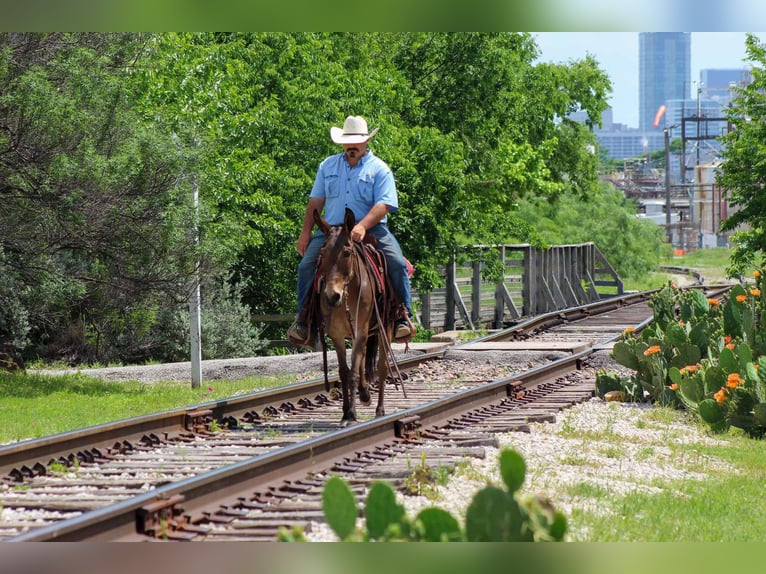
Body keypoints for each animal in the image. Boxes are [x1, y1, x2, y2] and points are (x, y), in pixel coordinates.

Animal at [312, 207, 393, 426]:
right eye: (322, 254)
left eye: (347, 253)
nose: (332, 296)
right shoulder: (337, 335)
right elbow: (344, 372)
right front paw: (346, 412)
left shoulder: (360, 331)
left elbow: (354, 372)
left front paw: (353, 413)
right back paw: (365, 394)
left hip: (385, 330)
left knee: (382, 367)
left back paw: (380, 409)